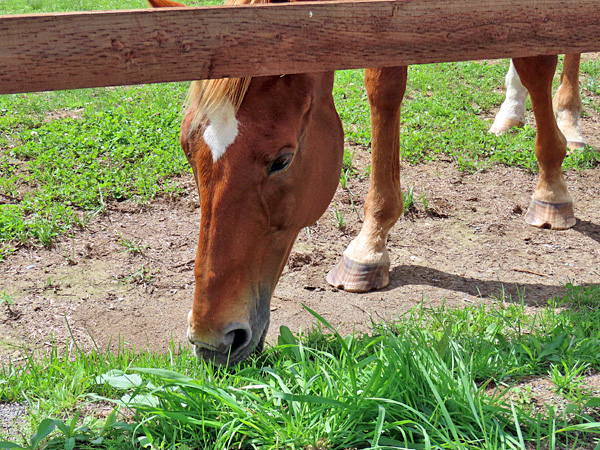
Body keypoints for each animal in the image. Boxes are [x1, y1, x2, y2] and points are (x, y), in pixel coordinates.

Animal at [151, 0, 580, 364]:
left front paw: (552, 191)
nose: (211, 342)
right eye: (187, 148)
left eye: (282, 160)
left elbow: (539, 59)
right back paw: (511, 112)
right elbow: (384, 82)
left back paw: (571, 122)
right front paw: (370, 245)